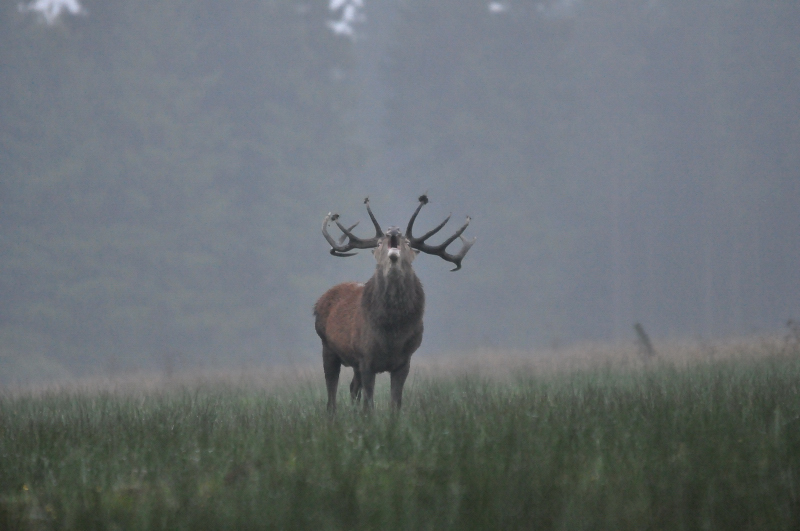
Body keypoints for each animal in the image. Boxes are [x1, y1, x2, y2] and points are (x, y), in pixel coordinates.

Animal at [313, 195, 475, 412]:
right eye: (379, 242)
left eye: (406, 242)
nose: (393, 229)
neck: (391, 334)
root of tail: (319, 302)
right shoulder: (366, 357)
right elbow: (369, 405)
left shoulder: (404, 361)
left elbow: (395, 404)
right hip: (328, 348)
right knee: (331, 397)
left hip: (352, 363)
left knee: (353, 387)